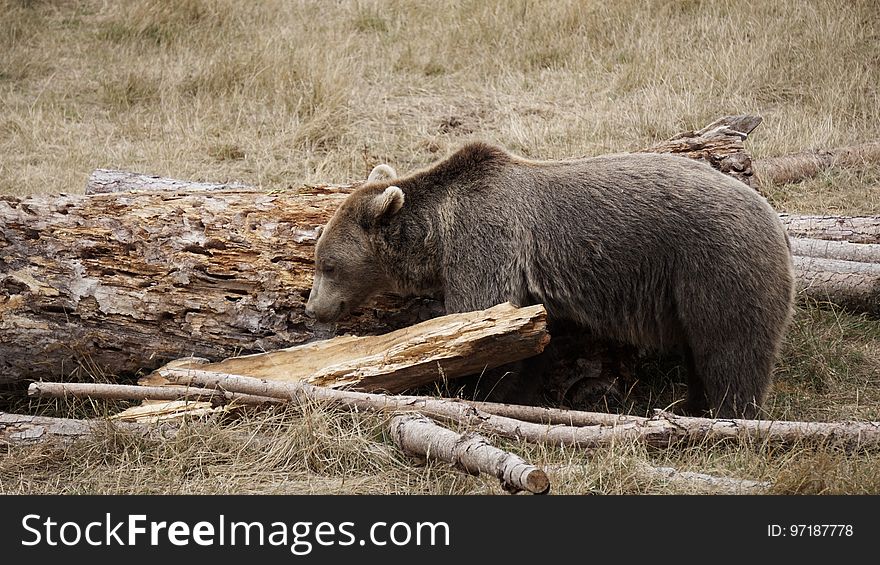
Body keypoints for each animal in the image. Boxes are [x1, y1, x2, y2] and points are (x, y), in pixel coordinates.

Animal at [306, 143, 796, 416]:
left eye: (327, 264)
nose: (314, 308)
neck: (437, 236)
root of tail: (777, 222)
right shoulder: (527, 287)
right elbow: (527, 344)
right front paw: (517, 391)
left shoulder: (487, 240)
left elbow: (477, 318)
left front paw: (469, 389)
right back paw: (694, 407)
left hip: (717, 267)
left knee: (732, 350)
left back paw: (730, 414)